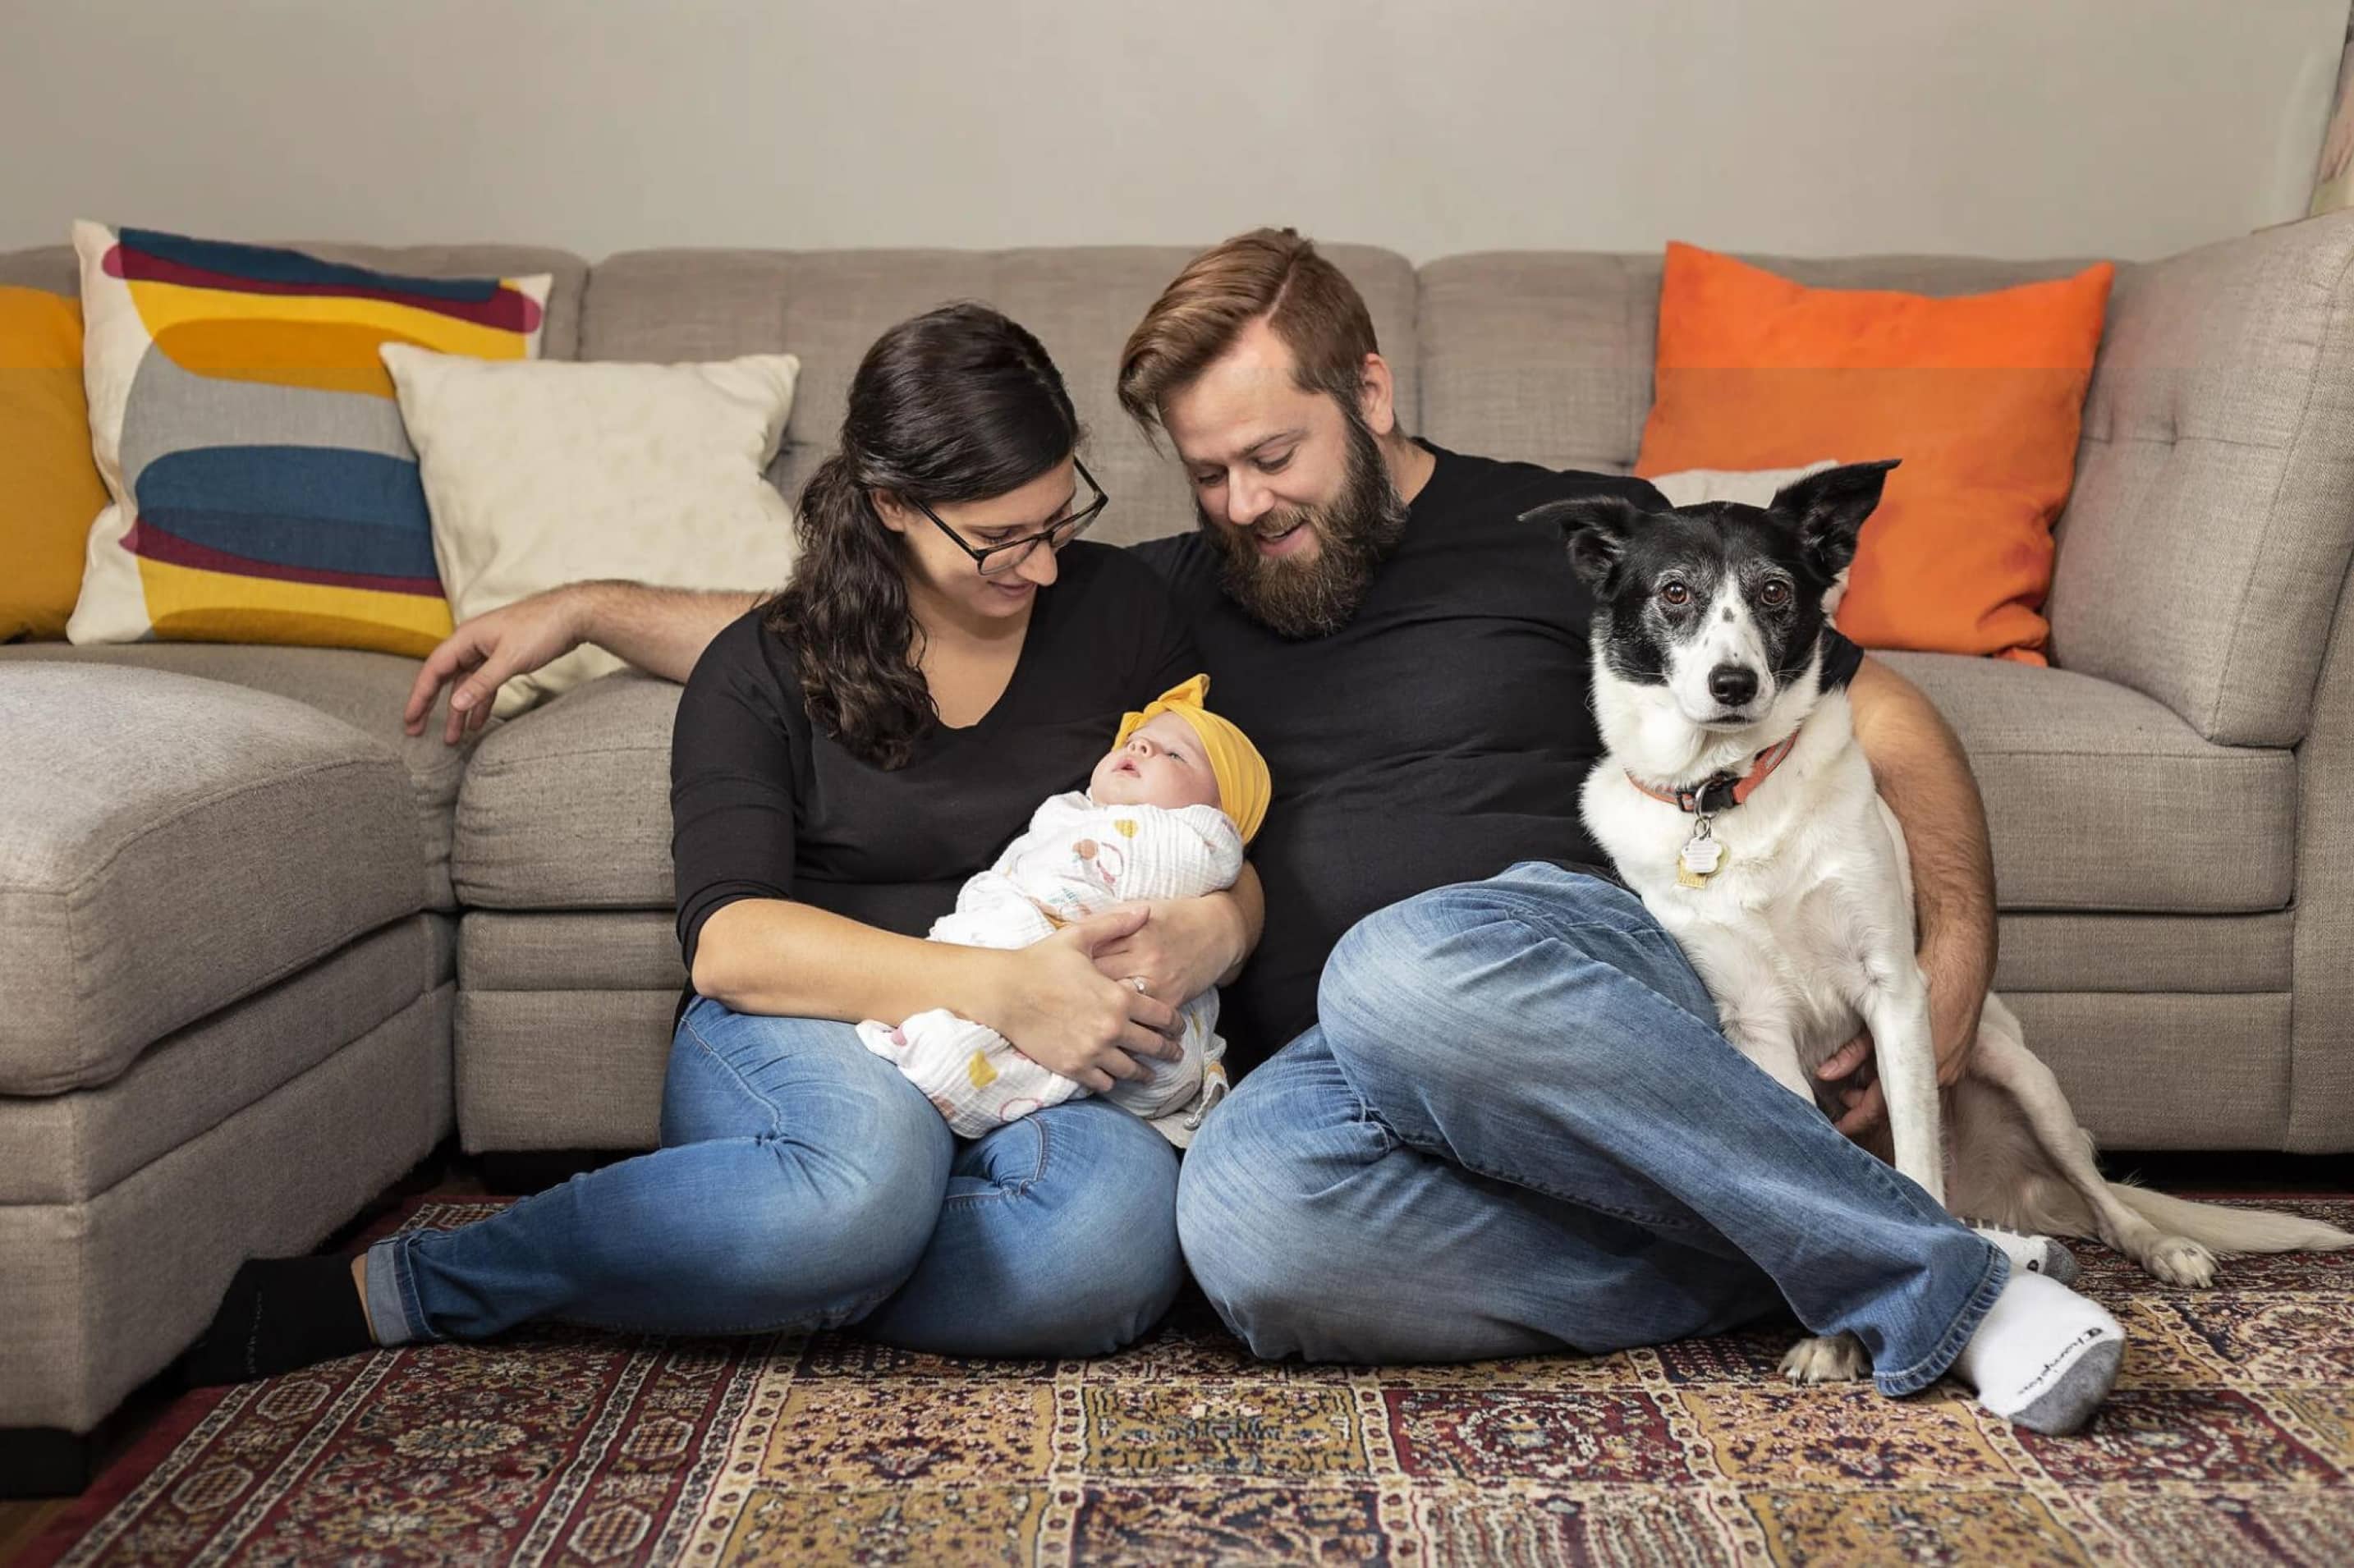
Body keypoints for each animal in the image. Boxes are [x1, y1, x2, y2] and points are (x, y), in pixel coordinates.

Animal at [1535, 463, 2344, 1384]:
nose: (1733, 685)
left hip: (2017, 1070)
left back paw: (2155, 1245)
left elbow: (1913, 1173)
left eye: (1775, 591)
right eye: (1673, 592)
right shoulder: (1757, 1026)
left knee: (2102, 1197)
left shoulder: (1893, 991)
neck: (1729, 793)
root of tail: (2009, 1193)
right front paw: (1837, 1332)